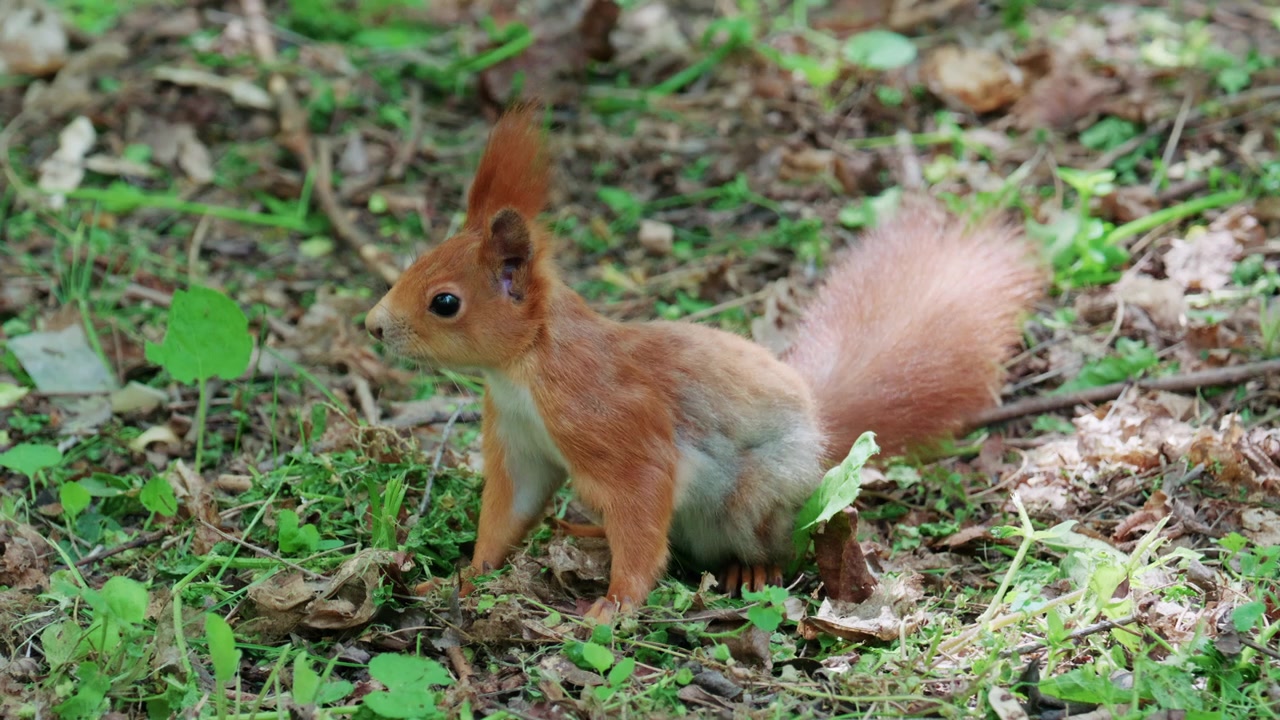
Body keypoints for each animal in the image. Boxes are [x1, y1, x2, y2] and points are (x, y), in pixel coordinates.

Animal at [364, 104, 1044, 622]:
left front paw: (615, 604)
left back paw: (753, 569)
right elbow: (508, 516)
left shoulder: (612, 420)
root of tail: (822, 430)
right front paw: (462, 577)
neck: (524, 370)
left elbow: (642, 507)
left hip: (757, 497)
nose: (373, 325)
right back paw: (586, 533)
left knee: (778, 545)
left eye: (445, 302)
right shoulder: (520, 441)